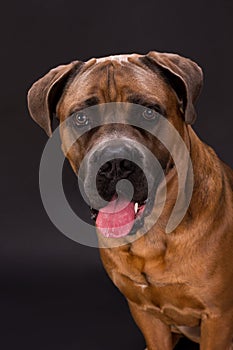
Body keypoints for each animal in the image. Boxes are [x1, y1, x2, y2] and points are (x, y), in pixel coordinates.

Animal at [26, 52, 233, 350]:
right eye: (81, 118)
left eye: (148, 112)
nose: (114, 164)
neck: (152, 236)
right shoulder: (145, 313)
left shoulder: (218, 317)